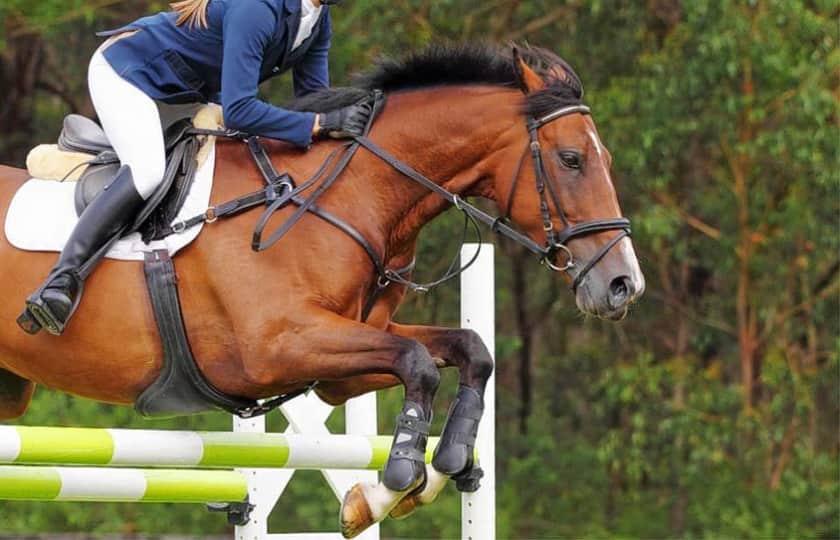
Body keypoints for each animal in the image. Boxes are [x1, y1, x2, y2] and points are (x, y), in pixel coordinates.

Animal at [0, 44, 644, 537]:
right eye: (571, 159)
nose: (623, 286)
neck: (344, 195)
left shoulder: (338, 368)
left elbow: (468, 351)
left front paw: (443, 463)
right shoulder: (275, 349)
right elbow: (419, 362)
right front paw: (395, 481)